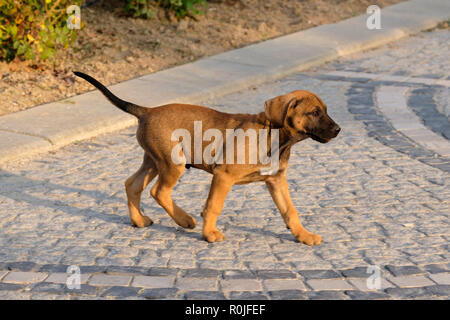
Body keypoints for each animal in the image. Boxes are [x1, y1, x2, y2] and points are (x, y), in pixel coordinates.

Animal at [74, 72, 342, 245]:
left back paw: (139, 220)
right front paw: (209, 234)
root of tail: (147, 111)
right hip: (172, 163)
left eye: (326, 111)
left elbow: (290, 211)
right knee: (158, 191)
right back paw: (185, 220)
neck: (275, 138)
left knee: (133, 184)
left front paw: (303, 235)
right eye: (314, 112)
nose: (339, 130)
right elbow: (214, 206)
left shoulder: (276, 181)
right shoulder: (224, 176)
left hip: (153, 160)